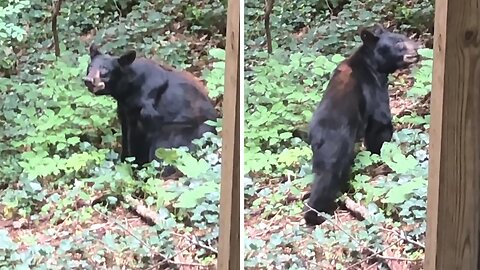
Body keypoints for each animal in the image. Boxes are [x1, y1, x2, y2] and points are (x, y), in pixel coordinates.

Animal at [82, 44, 218, 169]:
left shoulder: (148, 110)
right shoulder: (125, 110)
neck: (128, 91)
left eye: (105, 70)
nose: (88, 80)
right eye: (90, 66)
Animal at [306, 24, 418, 225]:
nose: (417, 47)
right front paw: (381, 154)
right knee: (328, 176)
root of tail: (314, 137)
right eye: (398, 42)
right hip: (337, 146)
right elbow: (380, 121)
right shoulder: (372, 87)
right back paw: (316, 213)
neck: (371, 64)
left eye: (404, 37)